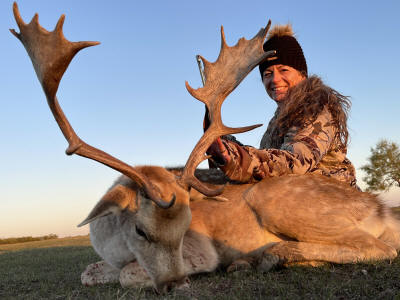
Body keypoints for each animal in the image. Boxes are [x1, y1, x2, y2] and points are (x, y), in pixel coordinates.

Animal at [11, 2, 400, 292]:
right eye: (140, 230)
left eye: (186, 230)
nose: (177, 284)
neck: (111, 242)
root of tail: (381, 208)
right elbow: (88, 272)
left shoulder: (201, 253)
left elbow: (126, 274)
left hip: (278, 202)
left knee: (382, 248)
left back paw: (267, 255)